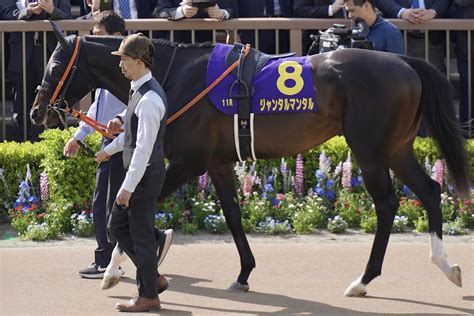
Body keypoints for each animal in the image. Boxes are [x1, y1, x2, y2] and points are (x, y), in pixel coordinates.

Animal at [30, 27, 470, 296]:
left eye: (55, 65)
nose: (37, 111)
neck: (176, 76)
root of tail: (405, 62)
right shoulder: (218, 163)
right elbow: (232, 215)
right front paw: (242, 274)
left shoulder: (188, 161)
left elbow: (136, 206)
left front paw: (116, 267)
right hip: (396, 148)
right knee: (430, 191)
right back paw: (446, 265)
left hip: (370, 150)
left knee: (387, 204)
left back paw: (363, 280)